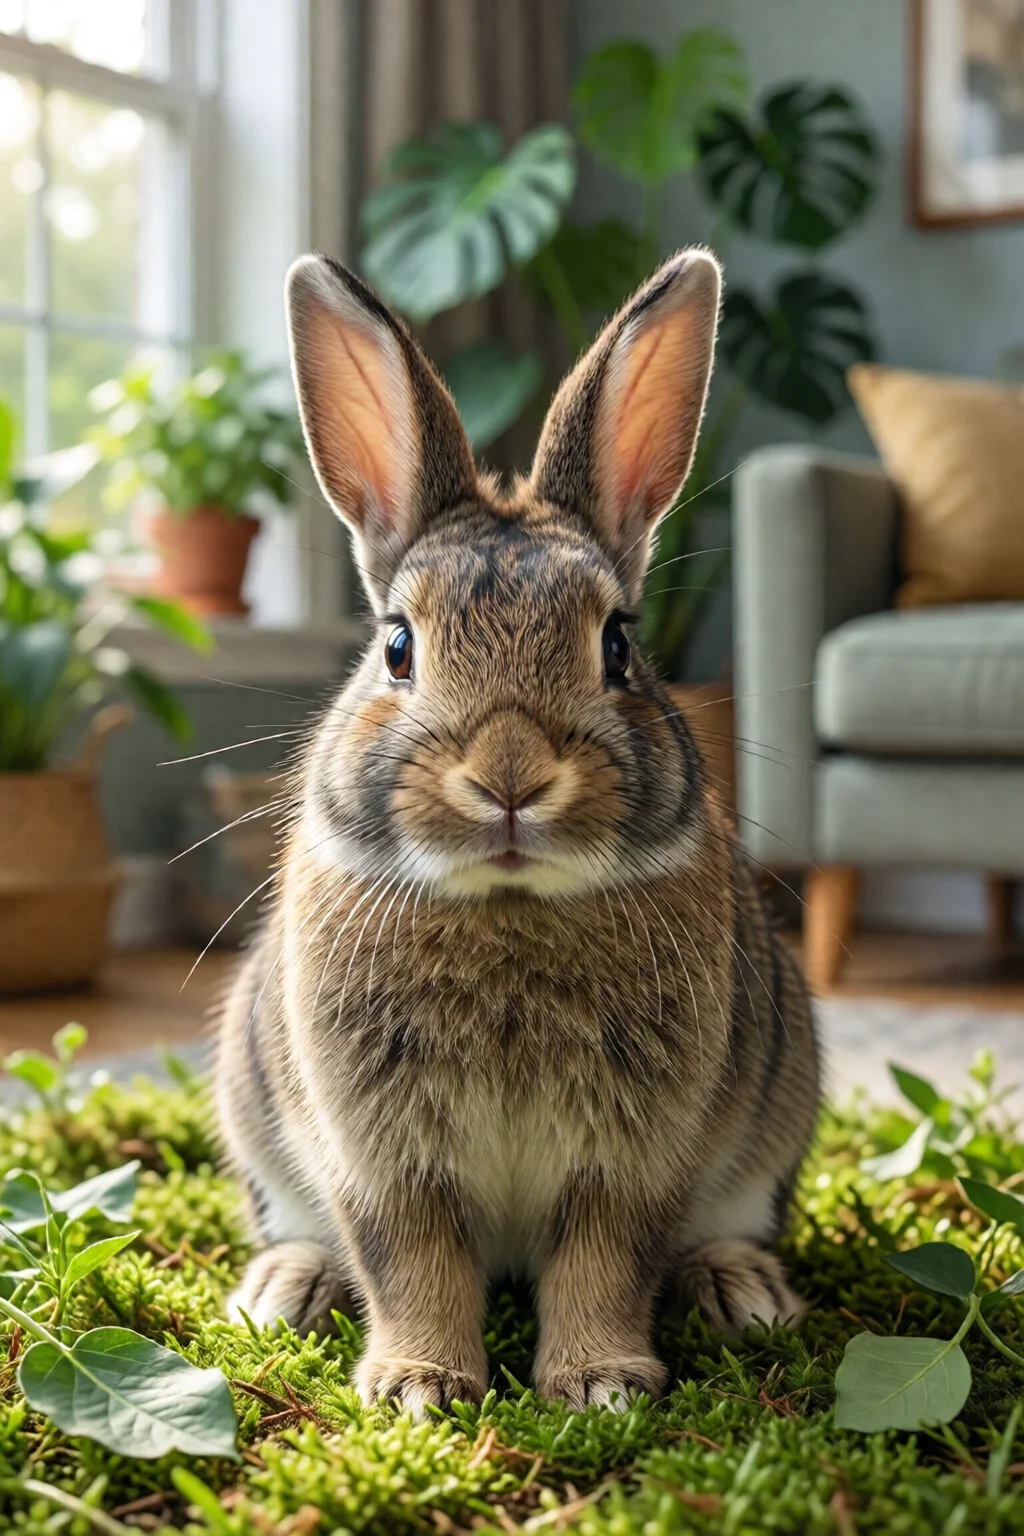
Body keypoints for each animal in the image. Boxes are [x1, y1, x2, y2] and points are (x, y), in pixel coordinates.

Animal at [215, 247, 820, 1417]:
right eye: (398, 646)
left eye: (618, 644)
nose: (508, 778)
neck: (506, 902)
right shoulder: (380, 1156)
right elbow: (410, 1260)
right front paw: (419, 1388)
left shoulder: (632, 1159)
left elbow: (605, 1261)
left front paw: (599, 1385)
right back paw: (284, 1289)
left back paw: (742, 1291)